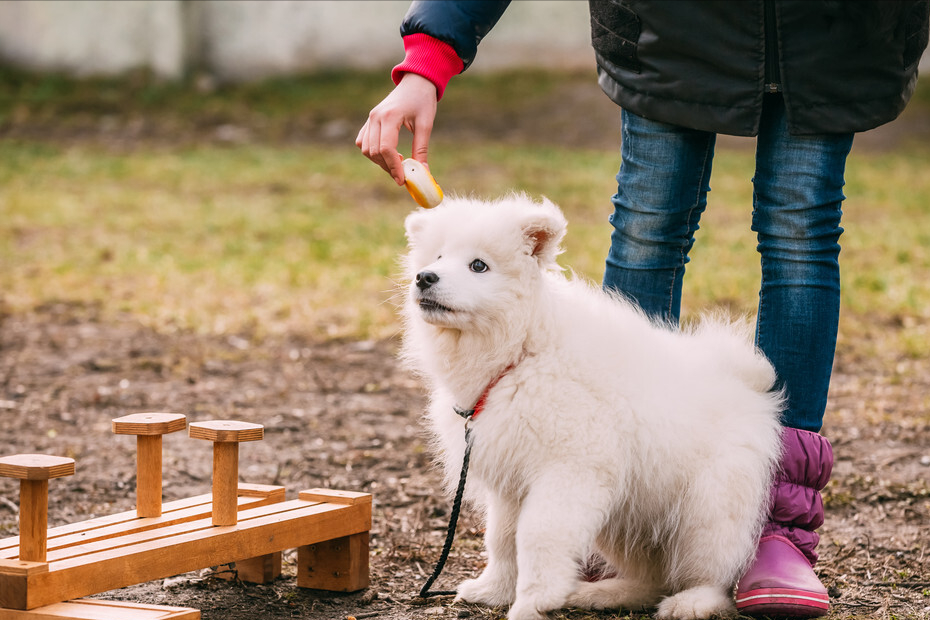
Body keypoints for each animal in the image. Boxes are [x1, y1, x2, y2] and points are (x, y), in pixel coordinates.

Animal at [398, 195, 784, 620]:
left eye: (478, 265)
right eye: (436, 257)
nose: (425, 278)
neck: (524, 350)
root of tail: (749, 386)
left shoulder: (569, 470)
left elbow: (538, 537)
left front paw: (532, 602)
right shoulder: (511, 479)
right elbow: (502, 538)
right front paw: (494, 589)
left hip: (707, 511)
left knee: (713, 573)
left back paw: (691, 602)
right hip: (626, 515)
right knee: (653, 579)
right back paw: (601, 593)